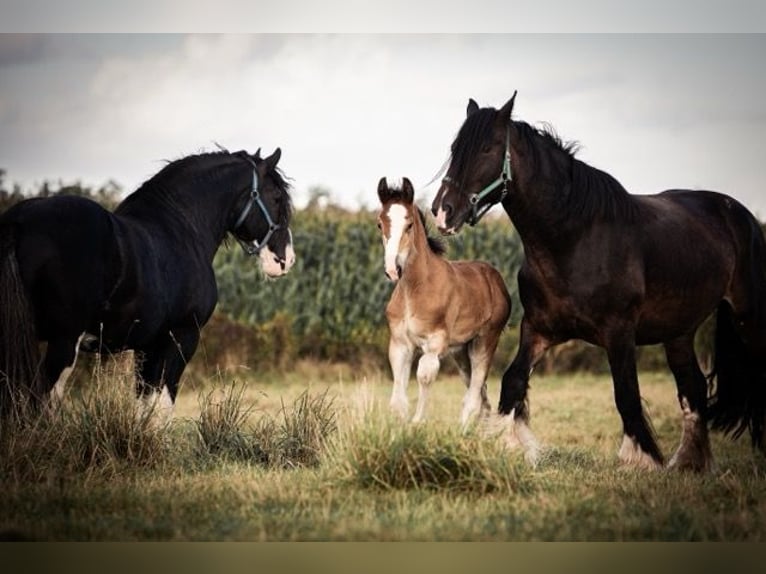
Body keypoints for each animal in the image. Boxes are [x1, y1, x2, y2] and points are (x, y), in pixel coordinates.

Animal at [0, 148, 296, 416]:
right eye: (277, 197)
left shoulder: (147, 346)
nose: (286, 260)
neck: (182, 228)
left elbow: (144, 406)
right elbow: (161, 408)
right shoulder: (180, 337)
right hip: (63, 341)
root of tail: (19, 221)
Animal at [432, 93, 766, 472]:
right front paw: (510, 446)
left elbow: (626, 395)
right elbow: (513, 382)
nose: (442, 211)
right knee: (692, 386)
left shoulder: (619, 332)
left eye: (487, 148)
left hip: (748, 319)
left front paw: (641, 458)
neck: (576, 238)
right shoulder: (538, 329)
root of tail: (740, 215)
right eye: (455, 148)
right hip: (679, 330)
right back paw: (689, 463)